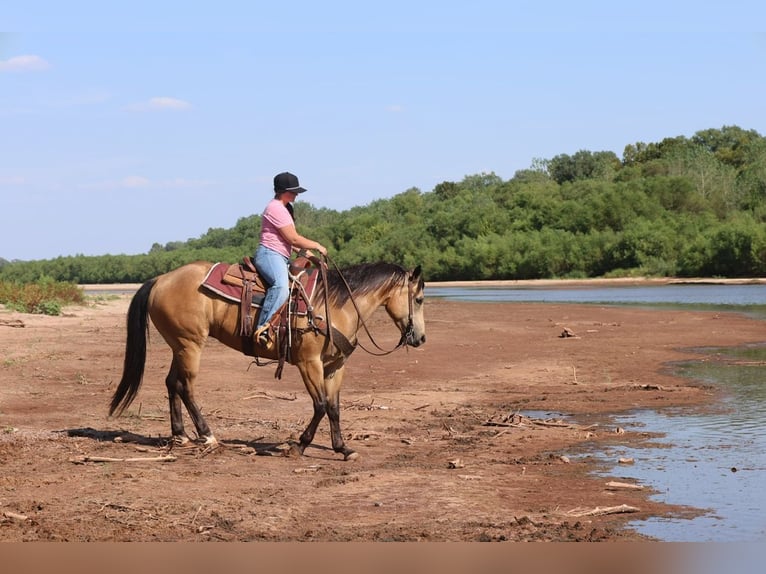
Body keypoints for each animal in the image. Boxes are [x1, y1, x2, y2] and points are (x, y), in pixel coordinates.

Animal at [108, 260, 426, 460]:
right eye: (420, 299)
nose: (420, 339)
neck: (335, 305)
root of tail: (160, 280)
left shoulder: (335, 367)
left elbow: (334, 408)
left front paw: (343, 448)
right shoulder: (308, 363)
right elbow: (320, 405)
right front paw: (299, 446)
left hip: (180, 346)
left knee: (172, 383)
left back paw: (181, 435)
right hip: (191, 345)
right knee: (186, 387)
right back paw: (208, 435)